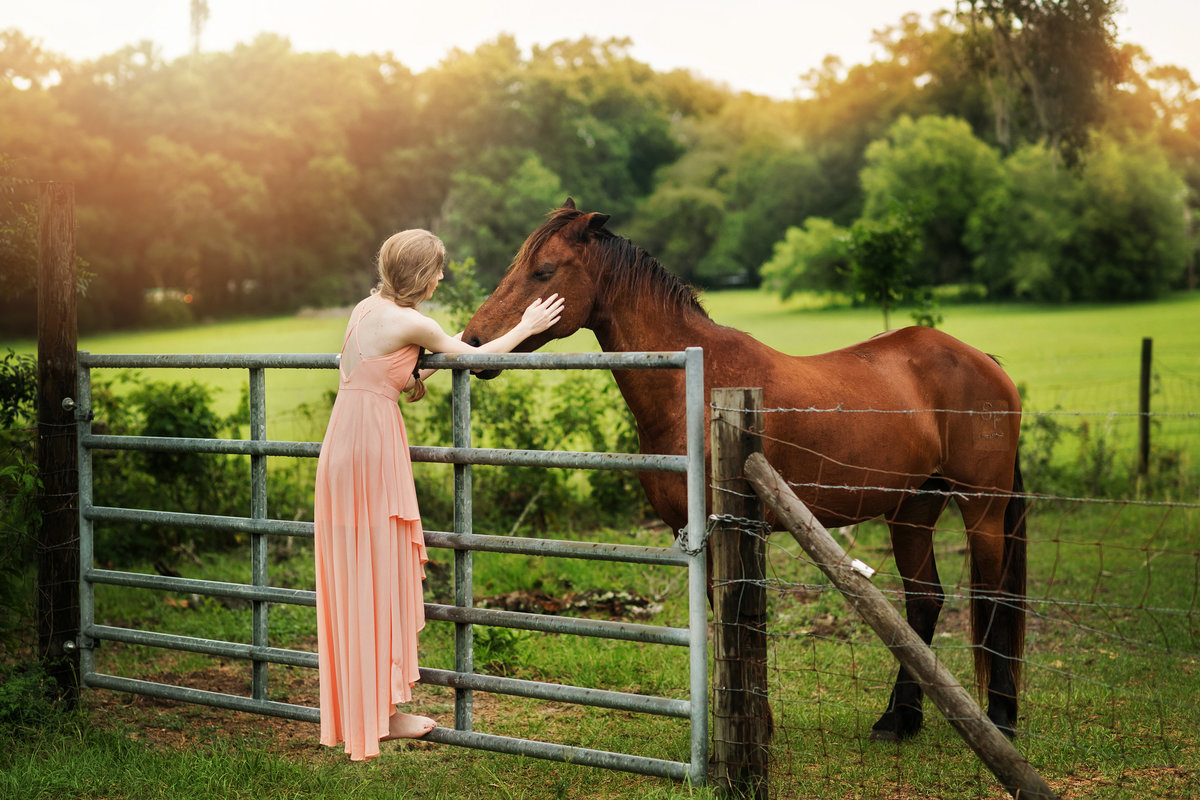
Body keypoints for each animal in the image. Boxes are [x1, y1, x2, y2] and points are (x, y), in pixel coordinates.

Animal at [463, 200, 1027, 743]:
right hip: (913, 508)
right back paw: (899, 720)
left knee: (993, 596)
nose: (472, 342)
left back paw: (1000, 717)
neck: (696, 387)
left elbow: (739, 617)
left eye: (543, 271)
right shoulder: (693, 531)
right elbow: (720, 617)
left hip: (981, 507)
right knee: (924, 602)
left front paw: (751, 732)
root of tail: (984, 361)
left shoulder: (738, 526)